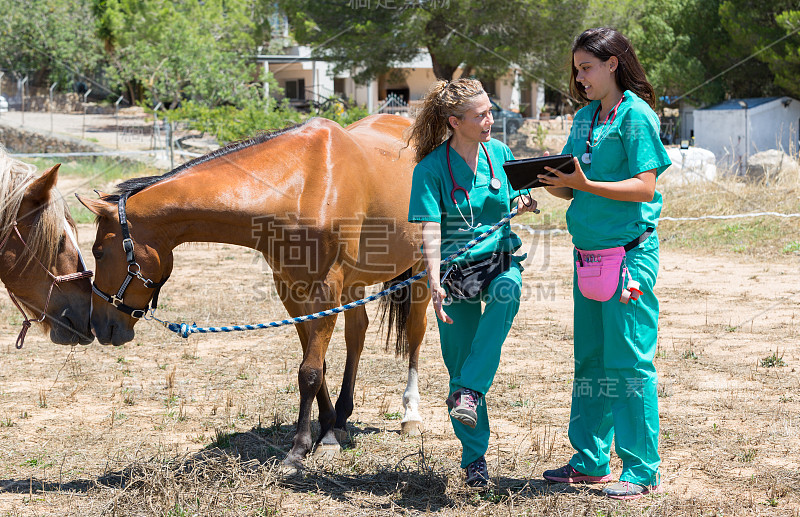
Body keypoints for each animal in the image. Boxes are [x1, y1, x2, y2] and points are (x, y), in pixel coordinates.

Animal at [79, 115, 432, 470]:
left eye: (98, 252)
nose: (99, 326)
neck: (301, 184)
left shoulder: (326, 290)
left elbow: (310, 371)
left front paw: (302, 449)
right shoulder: (292, 291)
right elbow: (316, 365)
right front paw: (328, 428)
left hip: (420, 274)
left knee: (415, 333)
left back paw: (410, 416)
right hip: (353, 285)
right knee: (357, 334)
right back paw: (344, 419)